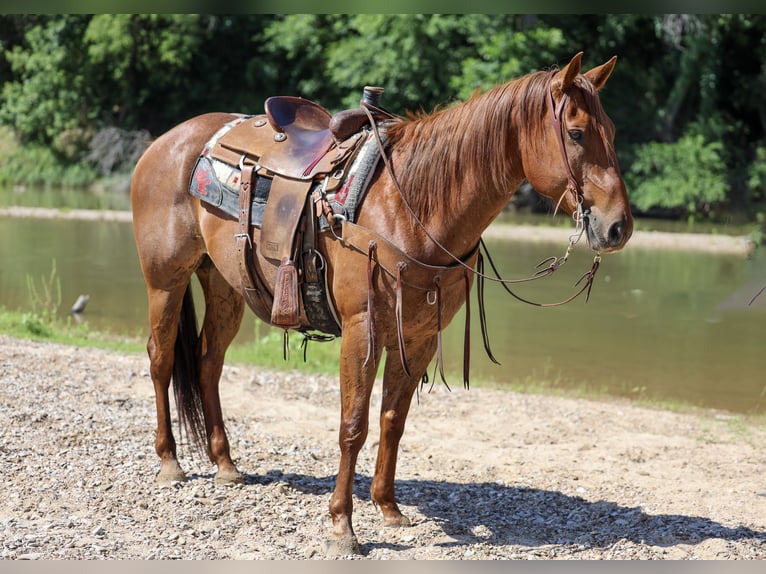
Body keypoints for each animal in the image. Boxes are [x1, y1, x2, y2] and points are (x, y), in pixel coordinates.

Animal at [130, 52, 633, 555]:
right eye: (576, 133)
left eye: (611, 129)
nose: (618, 227)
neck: (410, 206)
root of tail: (168, 141)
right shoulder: (362, 331)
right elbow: (353, 426)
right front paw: (342, 525)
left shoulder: (419, 336)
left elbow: (393, 420)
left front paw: (388, 508)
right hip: (165, 281)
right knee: (161, 359)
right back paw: (170, 462)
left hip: (225, 285)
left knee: (208, 362)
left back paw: (226, 465)